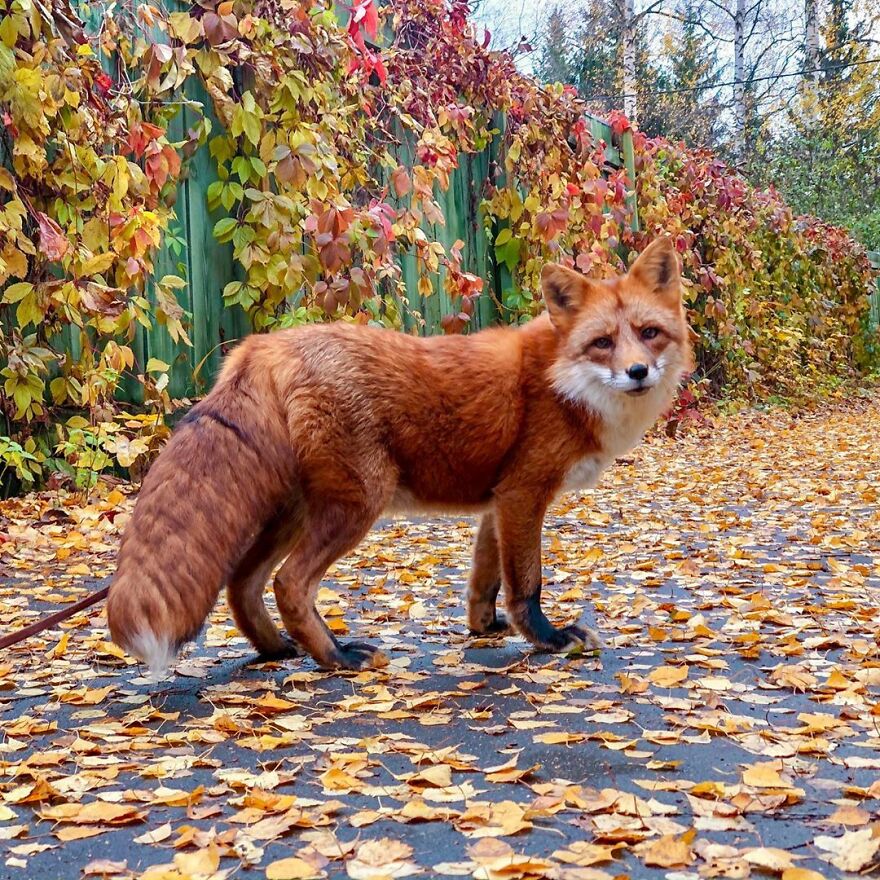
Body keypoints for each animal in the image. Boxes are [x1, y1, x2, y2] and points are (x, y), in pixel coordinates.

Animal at [107, 235, 693, 678]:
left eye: (649, 334)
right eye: (602, 343)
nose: (637, 372)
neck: (562, 381)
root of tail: (262, 347)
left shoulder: (498, 501)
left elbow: (485, 581)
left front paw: (484, 628)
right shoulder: (525, 493)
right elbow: (526, 585)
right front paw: (549, 639)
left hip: (293, 513)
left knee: (242, 585)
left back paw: (276, 650)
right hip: (358, 503)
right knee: (289, 585)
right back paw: (337, 657)